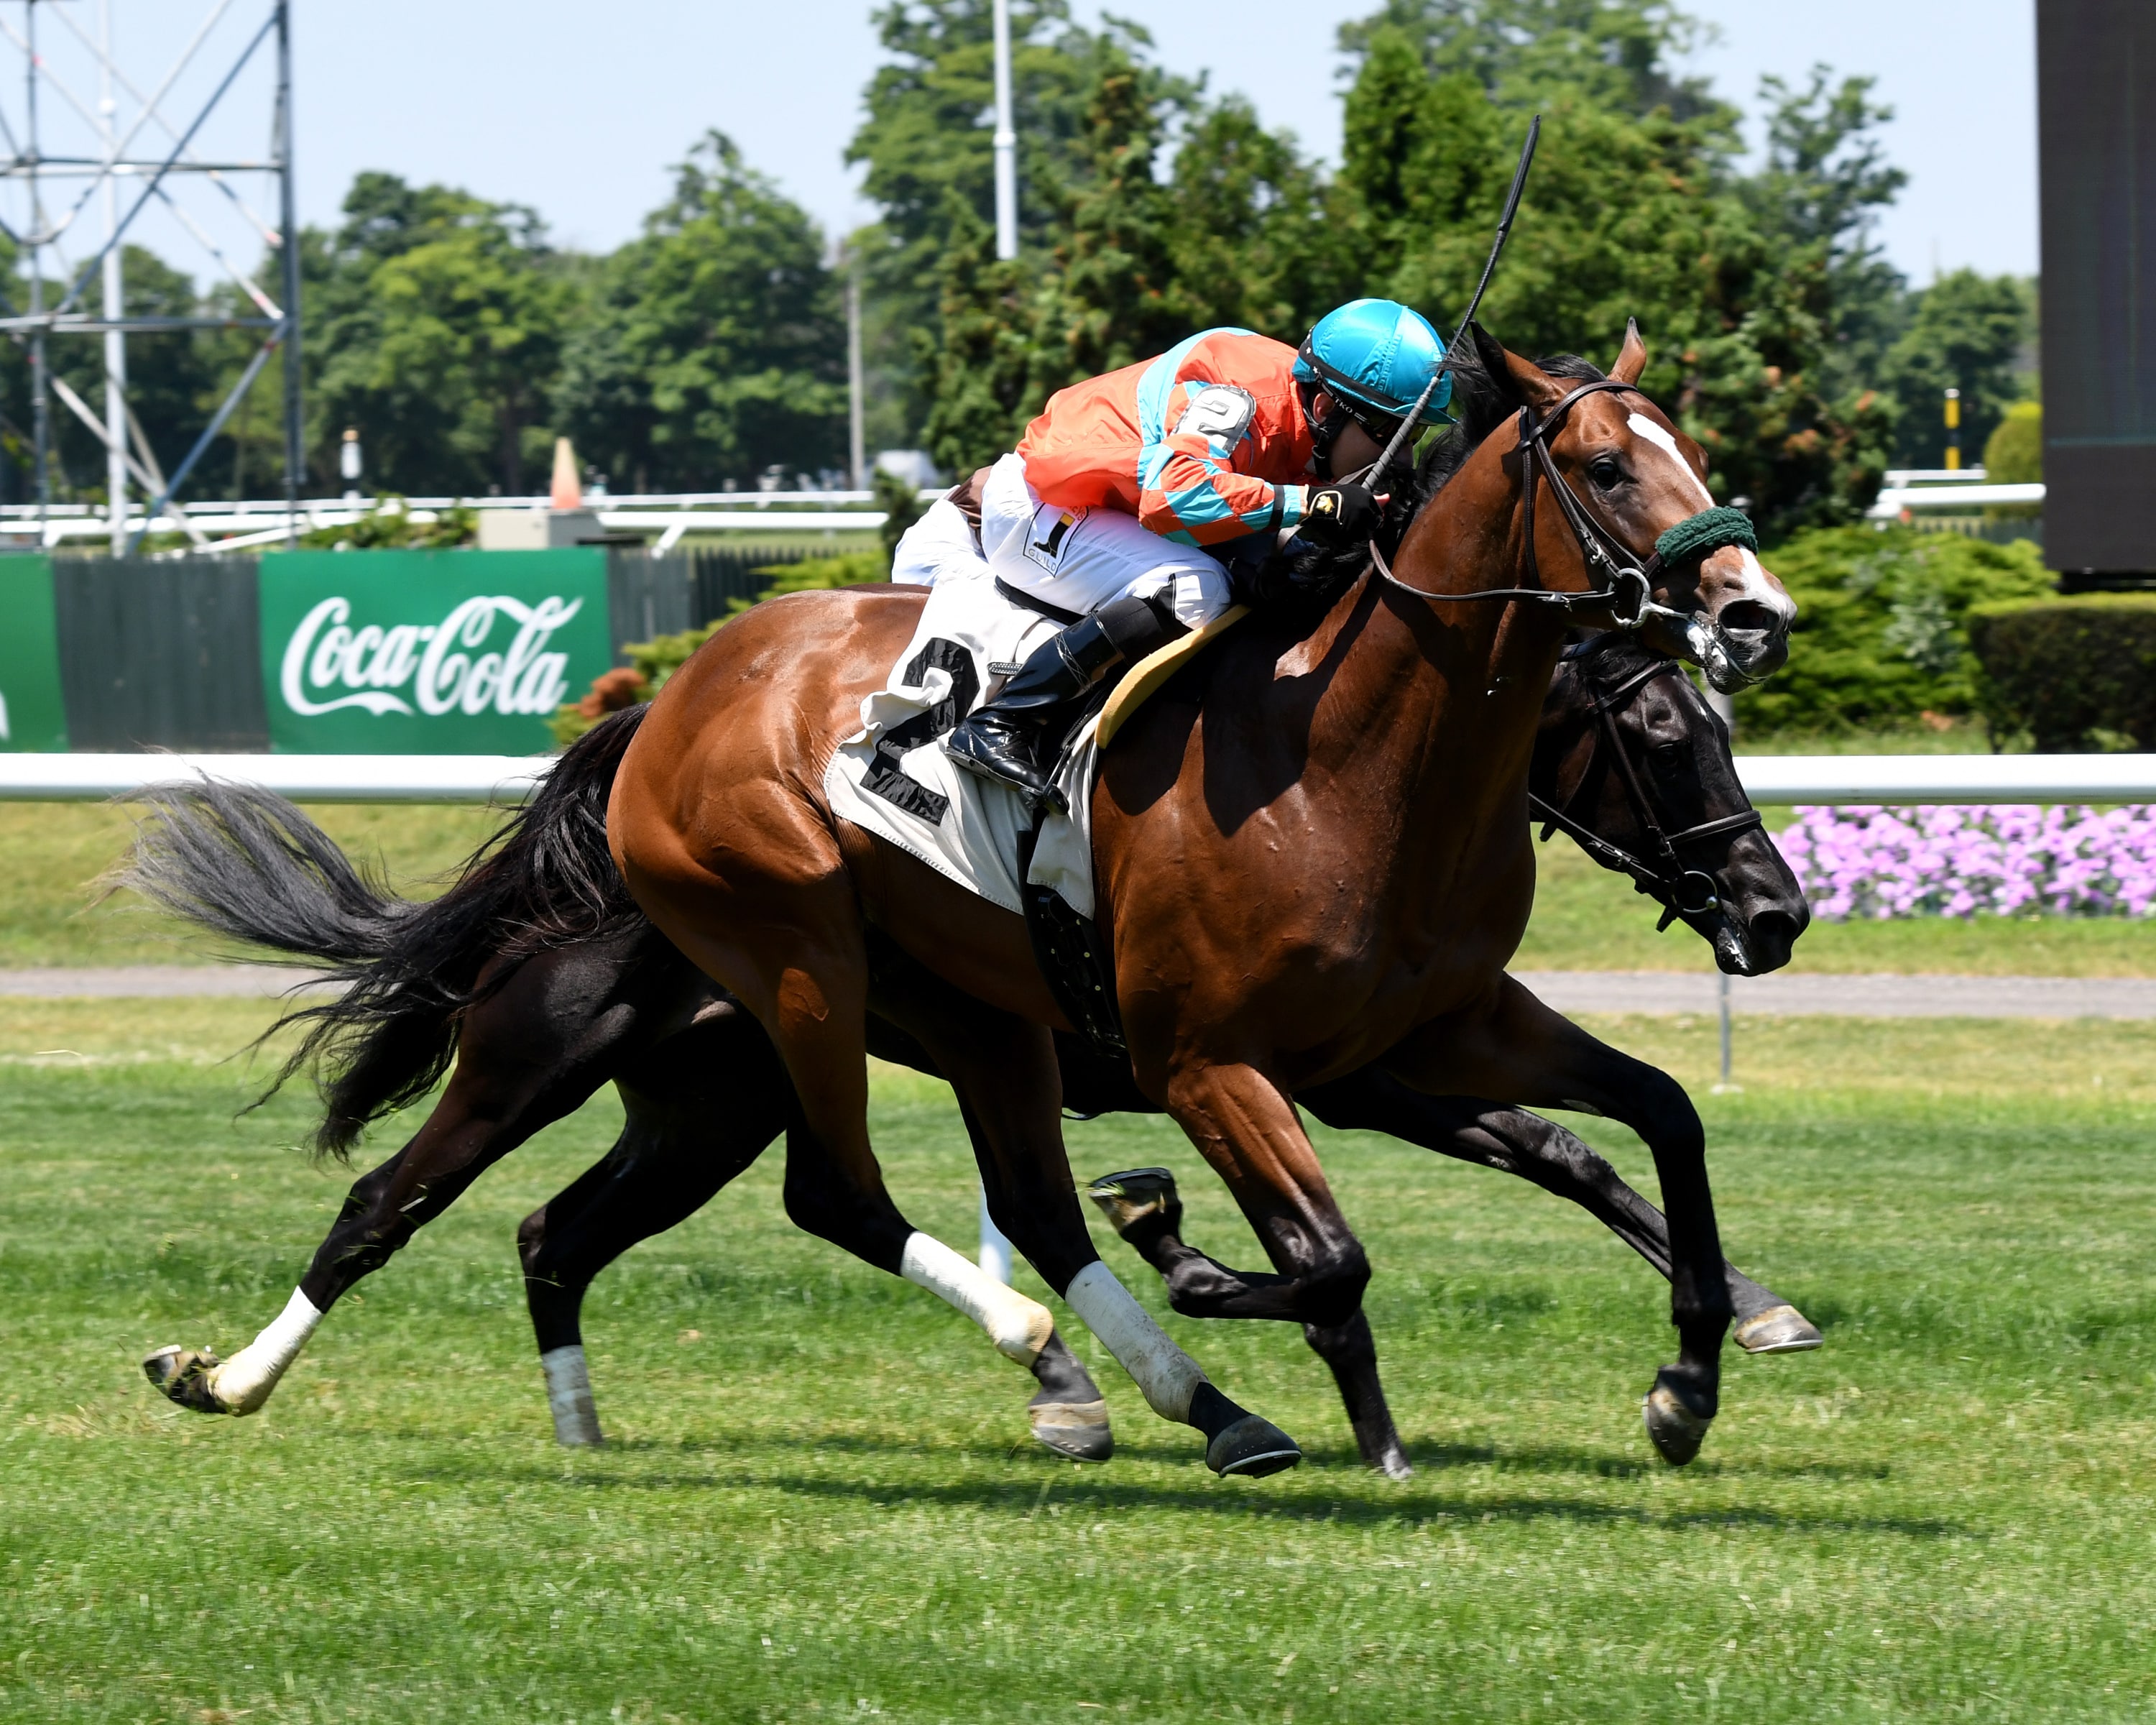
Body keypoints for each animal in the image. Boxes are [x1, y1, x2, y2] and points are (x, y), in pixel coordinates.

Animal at [134, 628, 1812, 1471]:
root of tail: (637, 791)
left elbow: (1596, 1138)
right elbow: (1350, 1239)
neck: (1358, 797)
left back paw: (589, 1426)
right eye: (1667, 732)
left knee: (564, 1232)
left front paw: (1736, 1321)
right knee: (396, 1204)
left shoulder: (1393, 1060)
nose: (1775, 906)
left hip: (708, 1103)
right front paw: (1194, 1255)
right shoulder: (1331, 1075)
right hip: (544, 1056)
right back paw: (222, 1376)